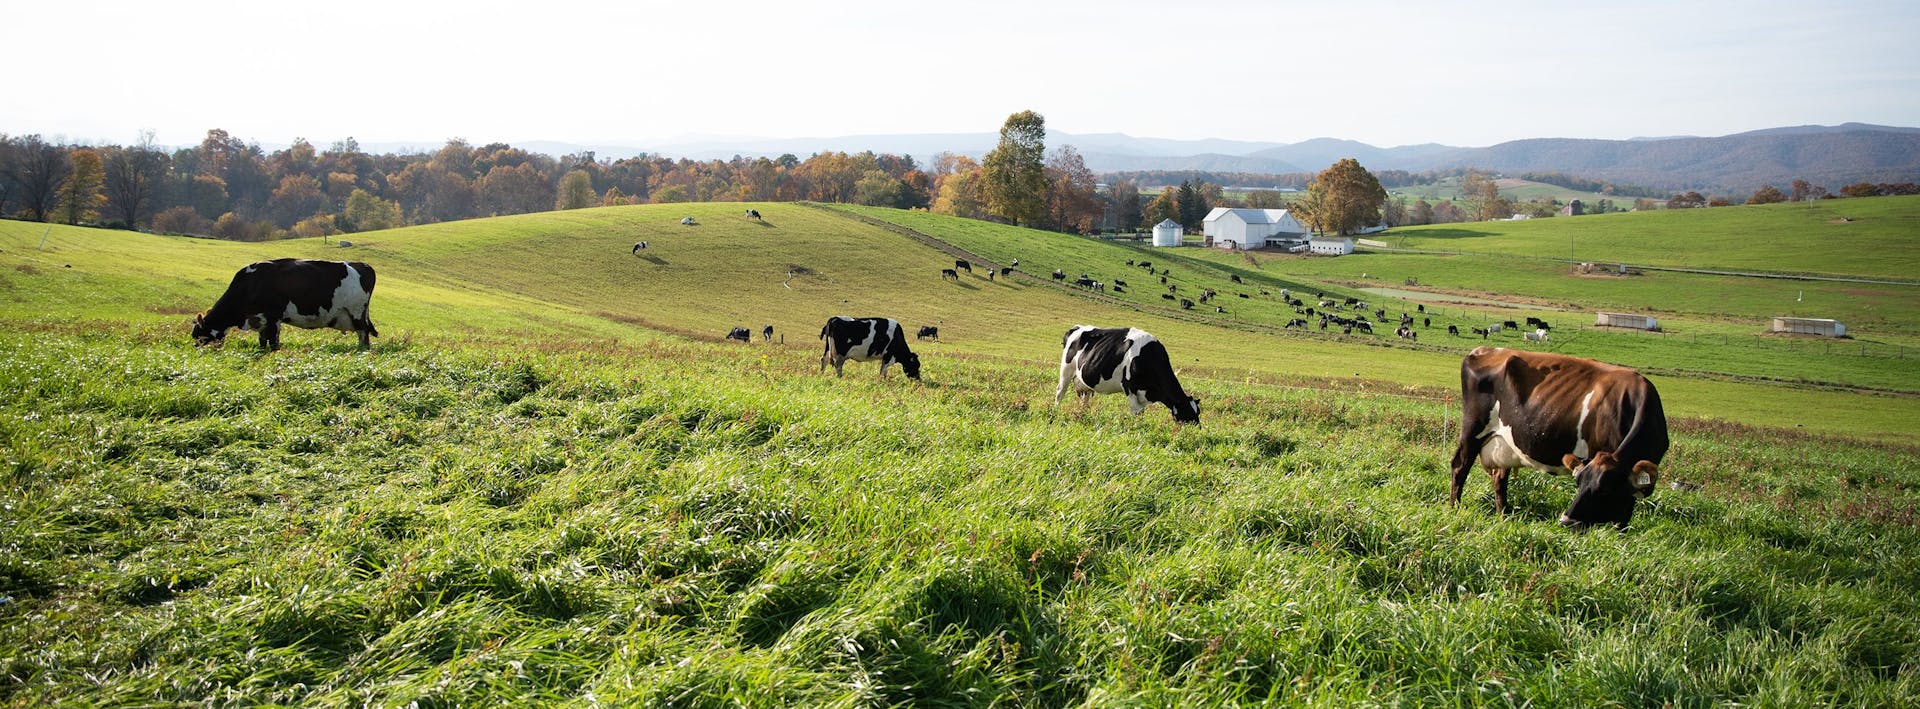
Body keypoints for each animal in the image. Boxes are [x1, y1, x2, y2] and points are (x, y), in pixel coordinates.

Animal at [192, 257, 378, 351]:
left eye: (199, 335)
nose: (194, 349)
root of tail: (363, 265)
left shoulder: (274, 317)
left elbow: (274, 342)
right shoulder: (261, 321)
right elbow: (263, 342)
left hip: (356, 312)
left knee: (364, 335)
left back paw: (361, 350)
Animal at [1059, 324, 1190, 422]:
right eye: (1187, 415)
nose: (1190, 432)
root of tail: (1077, 327)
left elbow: (1141, 412)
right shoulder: (1129, 387)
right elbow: (1137, 412)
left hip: (1084, 381)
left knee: (1084, 400)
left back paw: (1082, 415)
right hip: (1066, 369)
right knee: (1060, 391)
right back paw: (1056, 410)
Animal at [1451, 345, 1666, 526]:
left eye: (1604, 490)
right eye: (1578, 483)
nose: (1566, 521)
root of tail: (1482, 350)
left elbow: (1624, 512)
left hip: (1506, 444)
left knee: (1499, 478)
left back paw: (1503, 515)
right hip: (1473, 430)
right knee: (1459, 467)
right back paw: (1454, 508)